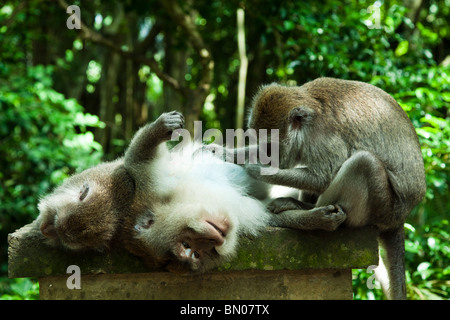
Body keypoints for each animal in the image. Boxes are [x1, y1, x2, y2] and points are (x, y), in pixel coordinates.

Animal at [36, 110, 344, 272]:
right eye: (191, 251)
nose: (214, 240)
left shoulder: (141, 187)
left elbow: (137, 160)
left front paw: (159, 130)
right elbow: (271, 213)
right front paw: (315, 219)